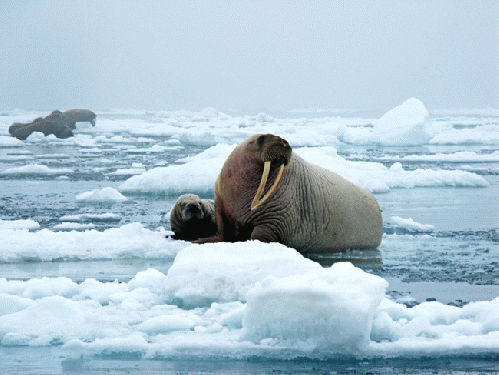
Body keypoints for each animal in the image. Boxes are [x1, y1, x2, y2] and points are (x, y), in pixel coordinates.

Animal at [197, 134, 384, 254]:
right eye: (261, 139)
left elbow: (261, 234)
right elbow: (222, 229)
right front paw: (200, 240)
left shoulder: (276, 216)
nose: (284, 142)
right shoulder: (221, 204)